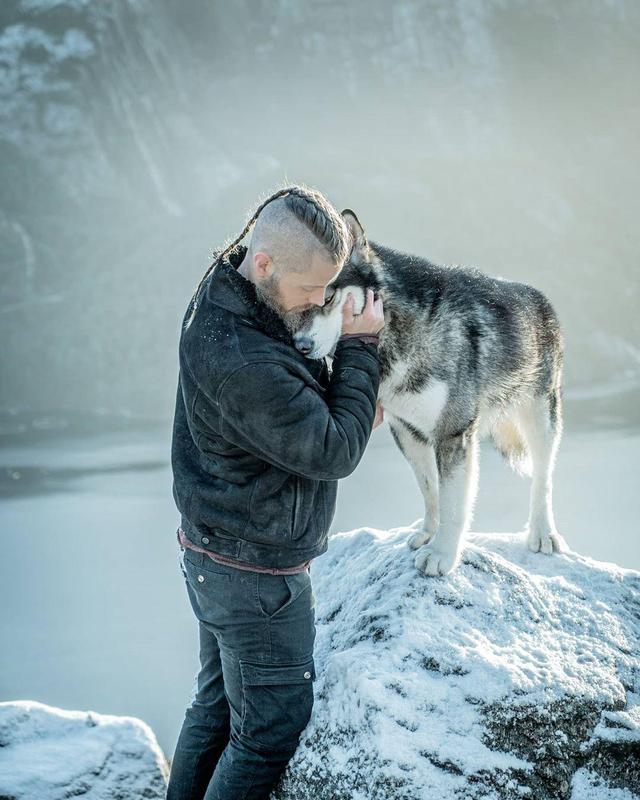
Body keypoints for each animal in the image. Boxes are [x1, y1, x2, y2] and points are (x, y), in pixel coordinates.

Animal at [292, 209, 568, 580]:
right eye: (294, 301)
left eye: (327, 297)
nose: (301, 346)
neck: (396, 331)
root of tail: (540, 299)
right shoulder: (407, 431)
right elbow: (431, 490)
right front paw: (429, 533)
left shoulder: (452, 433)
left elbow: (454, 504)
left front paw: (442, 555)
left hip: (540, 415)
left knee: (543, 476)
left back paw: (542, 532)